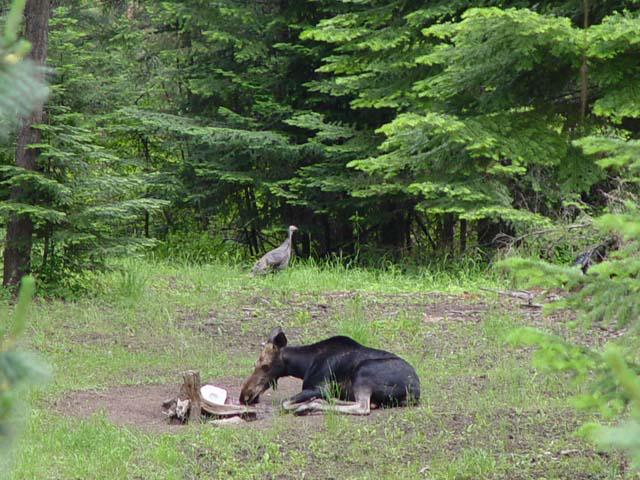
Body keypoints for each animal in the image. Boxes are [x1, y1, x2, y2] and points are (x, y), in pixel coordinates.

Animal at [240, 328, 420, 414]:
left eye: (265, 366)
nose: (245, 396)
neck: (303, 366)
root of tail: (416, 392)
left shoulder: (320, 387)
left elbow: (285, 403)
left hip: (363, 371)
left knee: (363, 407)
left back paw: (310, 405)